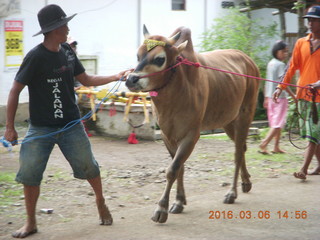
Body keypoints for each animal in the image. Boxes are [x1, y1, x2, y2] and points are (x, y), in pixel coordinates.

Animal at [125, 26, 260, 223]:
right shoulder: (167, 135)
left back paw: (232, 193)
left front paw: (161, 209)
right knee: (241, 147)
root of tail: (248, 60)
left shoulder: (191, 135)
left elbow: (172, 169)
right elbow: (179, 167)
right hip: (228, 121)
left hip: (245, 115)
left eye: (159, 59)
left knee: (237, 153)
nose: (131, 79)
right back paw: (246, 182)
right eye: (138, 55)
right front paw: (179, 202)